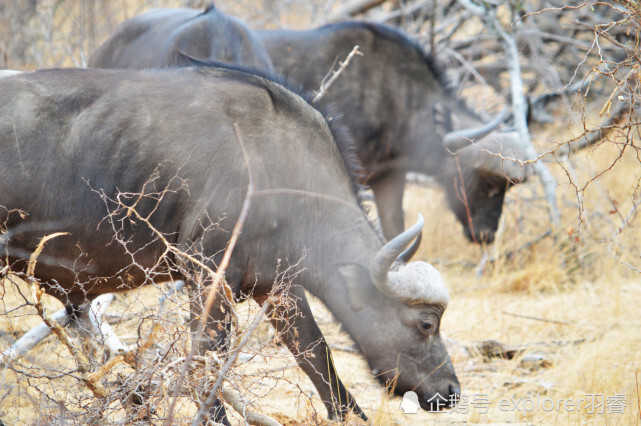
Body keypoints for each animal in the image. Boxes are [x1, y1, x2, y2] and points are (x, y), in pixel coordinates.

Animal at [0, 68, 460, 422]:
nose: (451, 390)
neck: (279, 167)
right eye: (426, 325)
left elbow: (316, 356)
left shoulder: (276, 285)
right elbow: (206, 367)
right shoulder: (208, 277)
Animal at [258, 22, 532, 243]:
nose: (486, 235)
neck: (396, 99)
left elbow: (394, 230)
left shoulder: (388, 178)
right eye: (487, 183)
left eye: (508, 189)